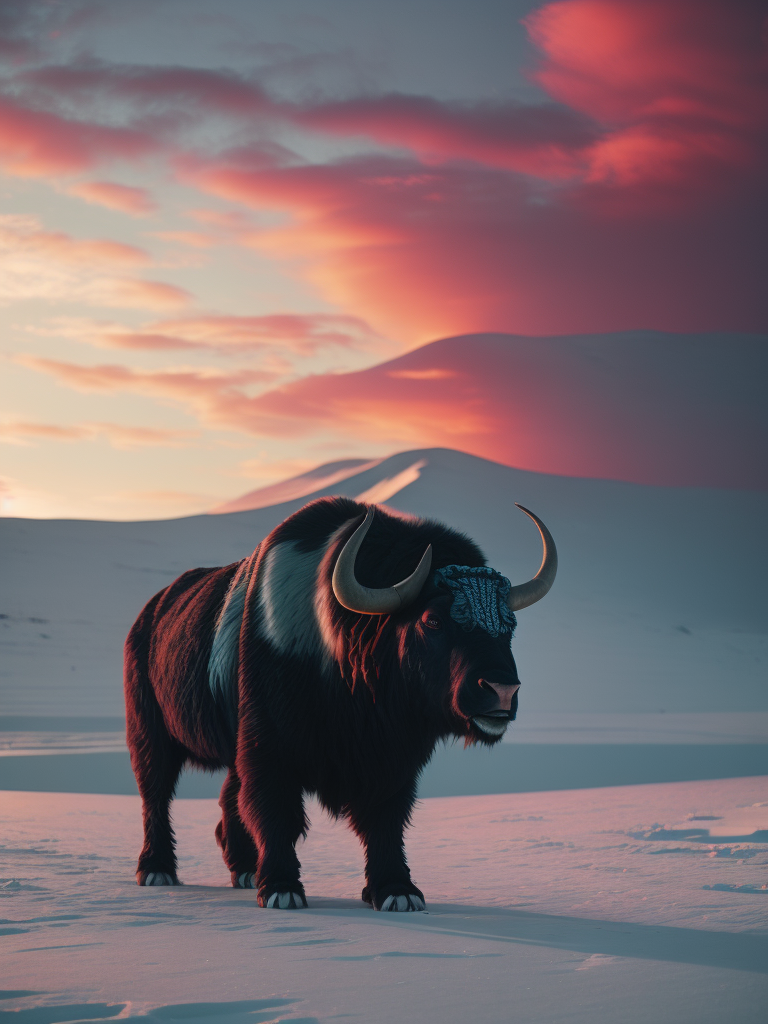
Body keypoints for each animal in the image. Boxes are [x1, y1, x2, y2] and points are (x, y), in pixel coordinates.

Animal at [124, 497, 557, 911]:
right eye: (432, 620)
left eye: (508, 624)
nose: (502, 690)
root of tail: (151, 611)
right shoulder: (269, 746)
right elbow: (276, 810)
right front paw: (283, 890)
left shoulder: (394, 760)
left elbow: (385, 819)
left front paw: (397, 892)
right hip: (151, 733)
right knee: (157, 793)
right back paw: (157, 870)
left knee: (228, 797)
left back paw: (244, 871)